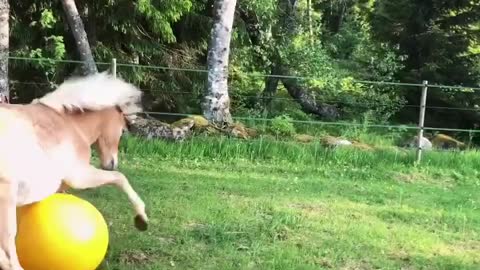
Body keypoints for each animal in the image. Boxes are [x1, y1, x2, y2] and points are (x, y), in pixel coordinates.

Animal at [0, 72, 148, 270]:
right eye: (123, 131)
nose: (111, 164)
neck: (70, 125)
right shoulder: (80, 176)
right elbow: (120, 178)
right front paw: (141, 219)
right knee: (7, 257)